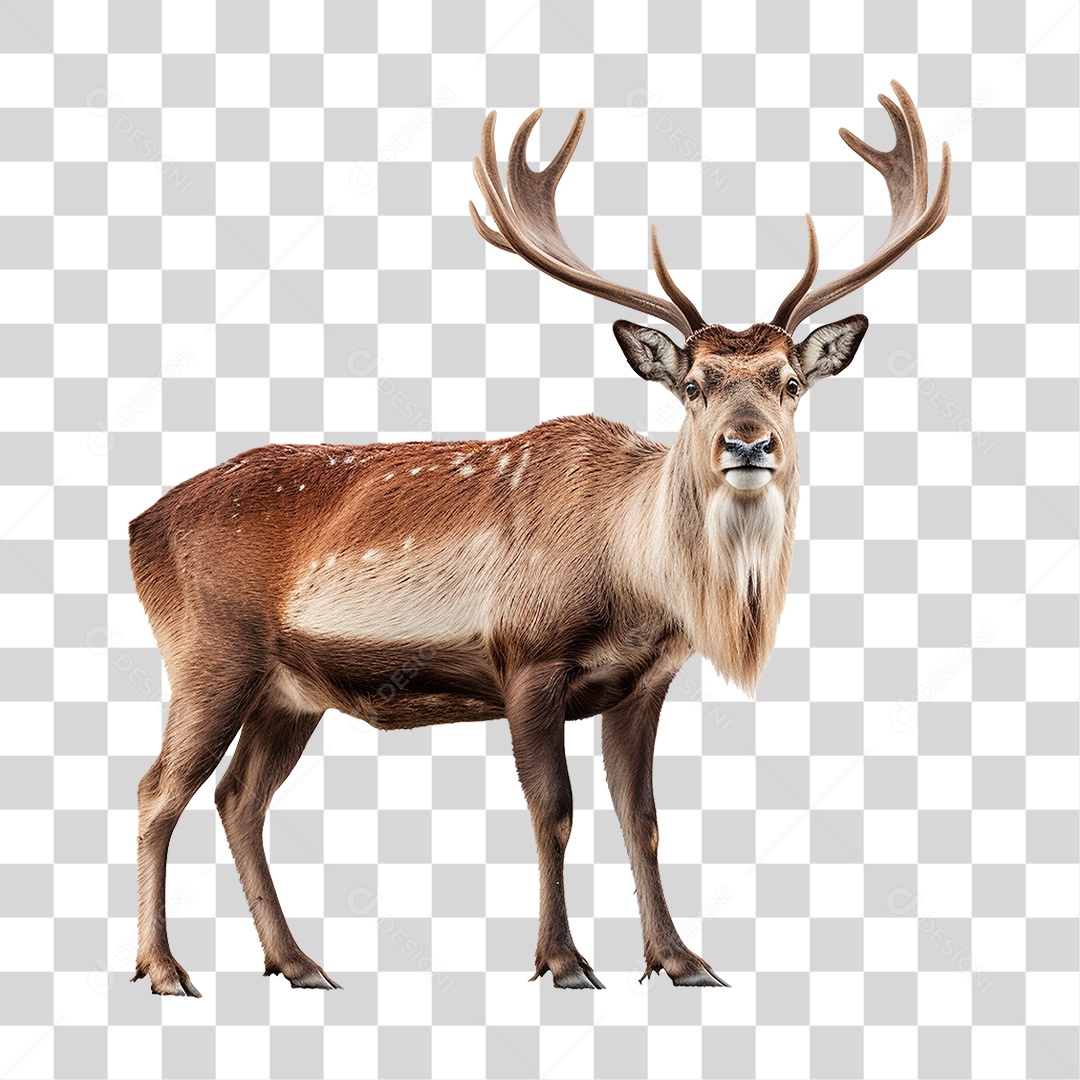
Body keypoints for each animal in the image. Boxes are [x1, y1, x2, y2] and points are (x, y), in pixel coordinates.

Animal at [129, 81, 949, 996]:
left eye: (791, 381)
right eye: (695, 384)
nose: (748, 444)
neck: (636, 579)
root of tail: (136, 526)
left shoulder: (643, 683)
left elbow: (643, 818)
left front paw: (680, 959)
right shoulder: (526, 654)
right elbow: (552, 810)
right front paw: (563, 960)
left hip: (288, 690)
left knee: (239, 798)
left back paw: (299, 962)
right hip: (210, 652)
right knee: (159, 790)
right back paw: (164, 969)